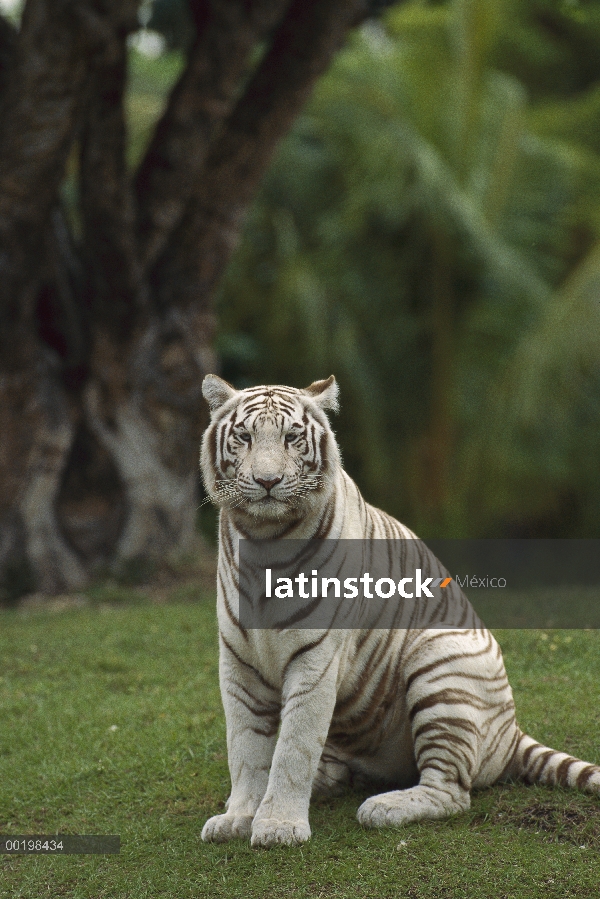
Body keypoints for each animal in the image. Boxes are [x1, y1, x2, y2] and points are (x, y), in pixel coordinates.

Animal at [199, 374, 596, 852]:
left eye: (292, 438)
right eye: (244, 437)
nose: (268, 480)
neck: (264, 538)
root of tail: (512, 730)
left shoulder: (315, 658)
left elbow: (294, 745)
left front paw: (277, 826)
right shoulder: (237, 661)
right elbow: (245, 747)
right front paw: (239, 816)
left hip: (439, 663)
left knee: (451, 791)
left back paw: (383, 808)